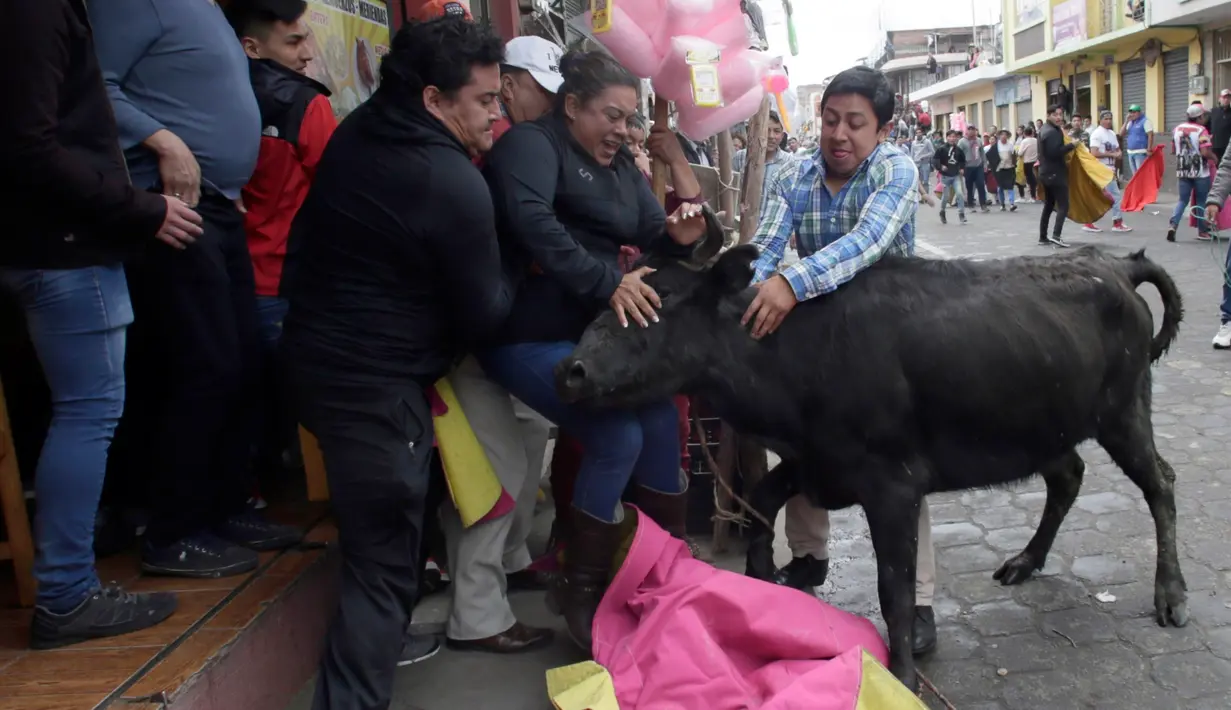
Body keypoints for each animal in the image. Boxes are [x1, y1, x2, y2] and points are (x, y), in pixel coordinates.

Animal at [558, 241, 1191, 689]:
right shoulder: (817, 461)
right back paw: (1025, 561)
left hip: (1123, 412)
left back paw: (1172, 594)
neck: (795, 357)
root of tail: (1113, 264)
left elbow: (897, 589)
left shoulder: (892, 484)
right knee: (1068, 478)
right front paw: (767, 583)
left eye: (660, 301)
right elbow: (761, 501)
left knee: (1160, 482)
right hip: (1047, 424)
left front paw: (902, 675)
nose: (571, 370)